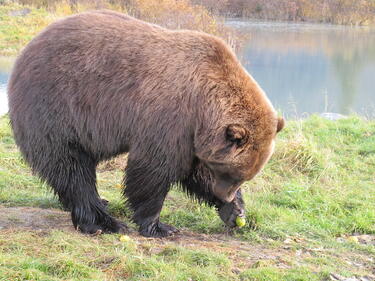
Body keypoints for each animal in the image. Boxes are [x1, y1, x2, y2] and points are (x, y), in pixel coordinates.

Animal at [7, 9, 284, 236]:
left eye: (245, 176)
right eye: (233, 172)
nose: (224, 194)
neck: (205, 106)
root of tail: (25, 51)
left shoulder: (192, 136)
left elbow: (195, 172)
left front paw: (235, 211)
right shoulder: (170, 118)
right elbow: (153, 170)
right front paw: (159, 226)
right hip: (58, 109)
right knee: (72, 168)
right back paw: (101, 221)